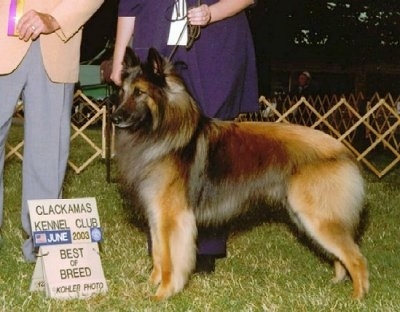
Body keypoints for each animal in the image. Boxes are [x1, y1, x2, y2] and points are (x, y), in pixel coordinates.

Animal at [110, 48, 368, 300]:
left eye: (140, 92)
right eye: (122, 92)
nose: (115, 117)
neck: (161, 132)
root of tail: (341, 150)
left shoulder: (172, 218)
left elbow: (169, 261)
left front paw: (162, 293)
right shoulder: (157, 215)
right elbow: (158, 254)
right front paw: (150, 285)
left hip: (317, 217)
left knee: (356, 257)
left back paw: (357, 297)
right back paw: (337, 282)